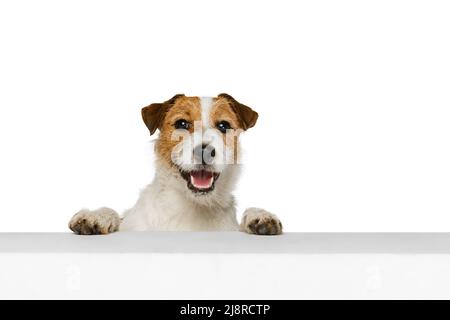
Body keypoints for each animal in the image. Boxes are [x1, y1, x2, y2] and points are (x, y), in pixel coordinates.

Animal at [68, 92, 282, 235]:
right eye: (181, 124)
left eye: (223, 125)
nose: (204, 151)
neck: (192, 206)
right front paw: (96, 216)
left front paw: (260, 215)